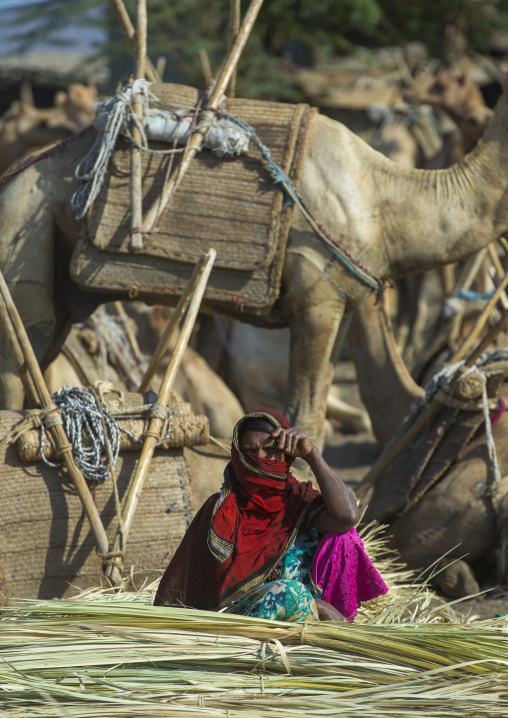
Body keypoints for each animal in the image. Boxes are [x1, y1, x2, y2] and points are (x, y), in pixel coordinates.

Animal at [2, 80, 508, 450]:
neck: (386, 200)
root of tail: (10, 177)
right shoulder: (315, 299)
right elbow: (304, 417)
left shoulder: (339, 305)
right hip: (23, 228)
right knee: (24, 355)